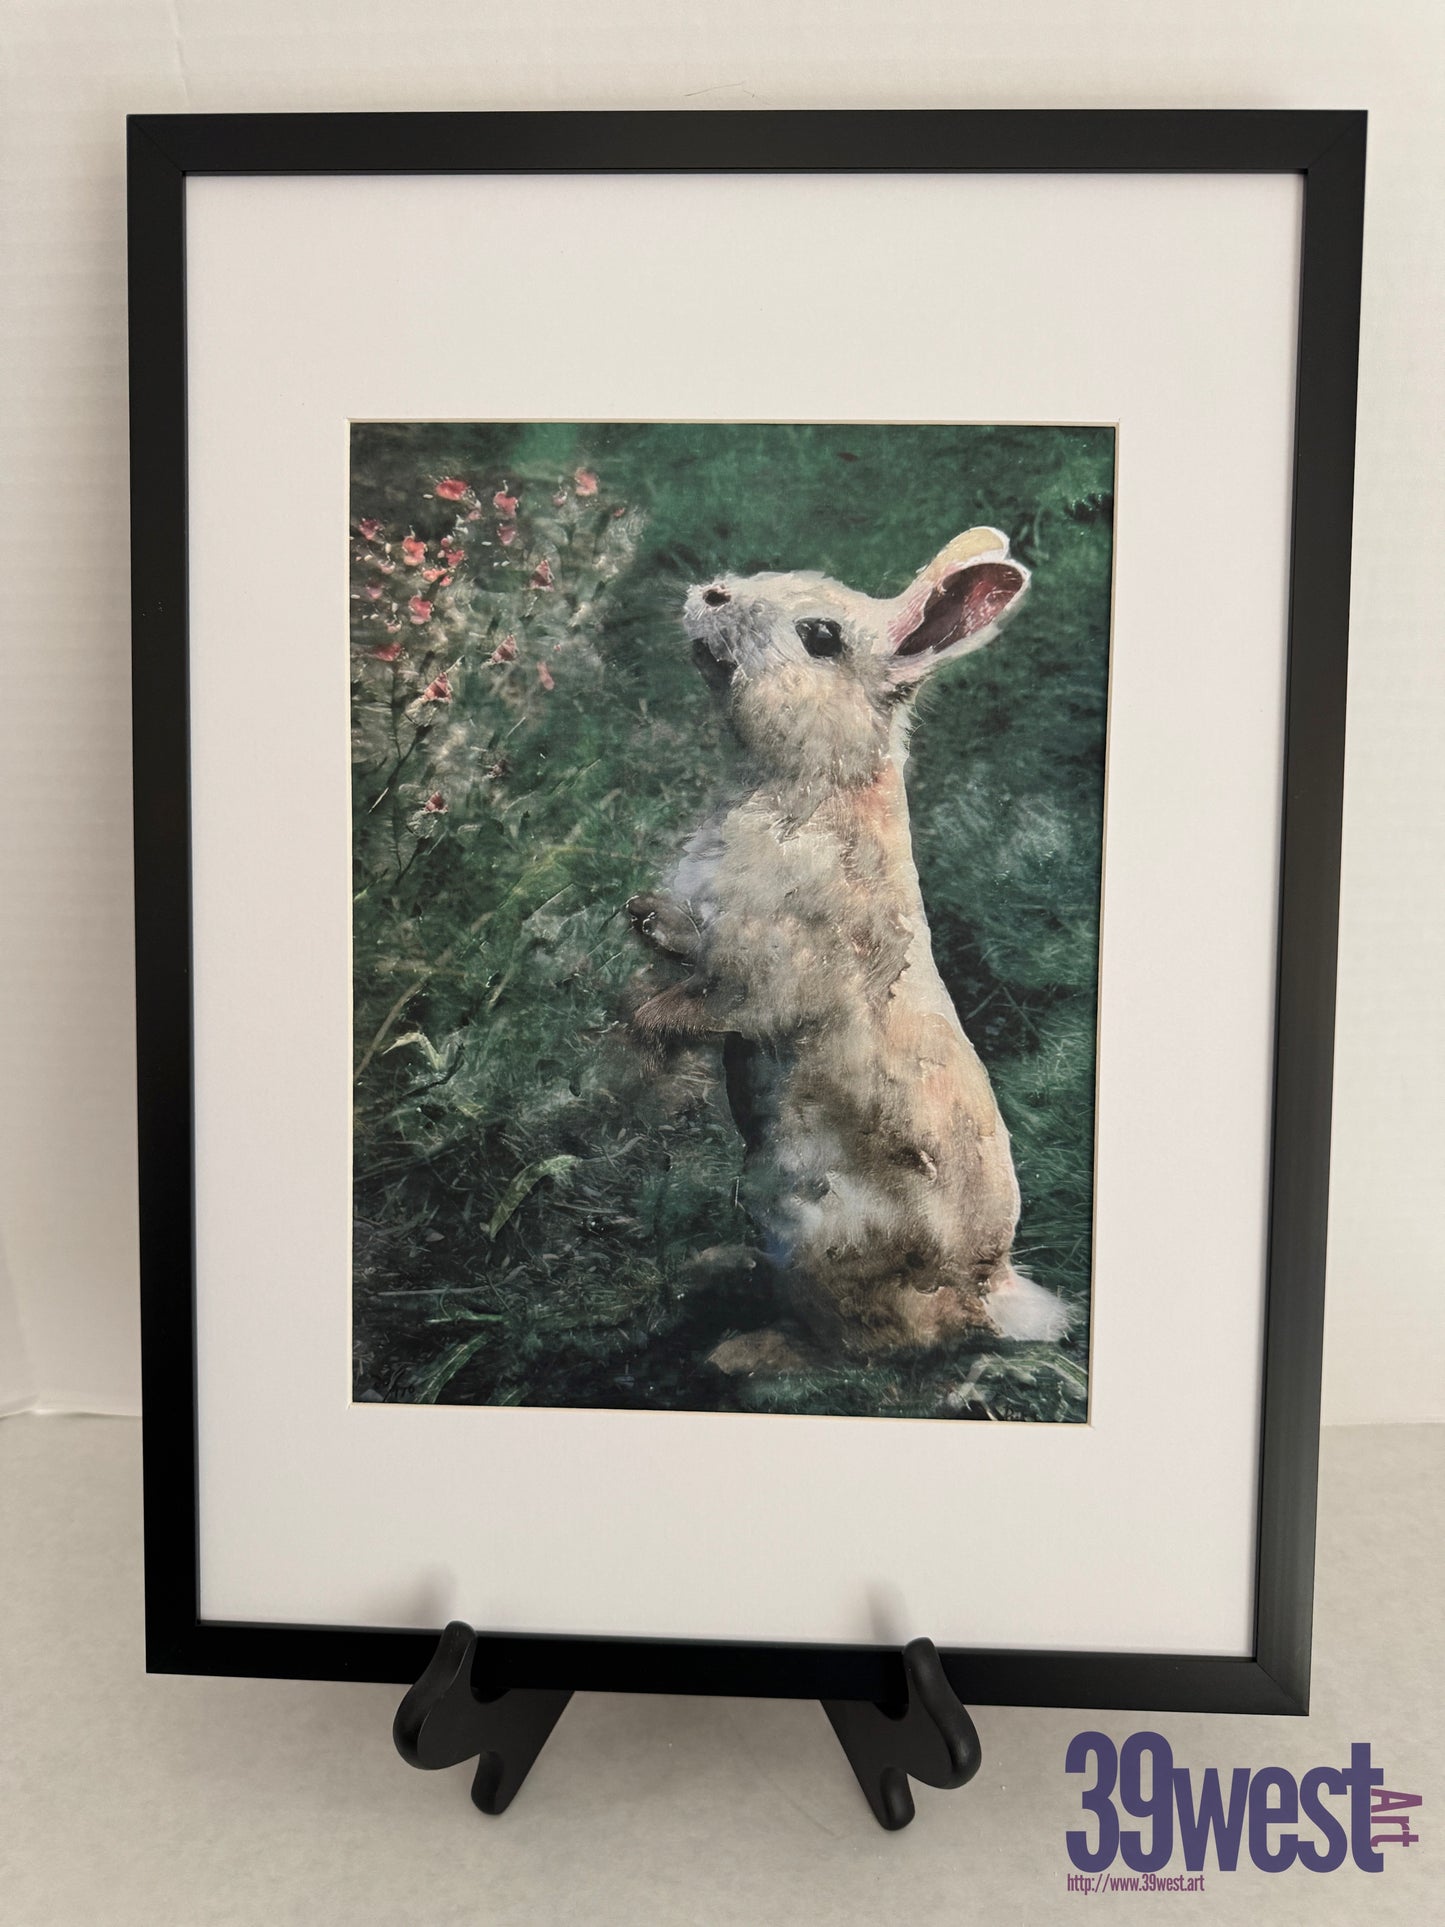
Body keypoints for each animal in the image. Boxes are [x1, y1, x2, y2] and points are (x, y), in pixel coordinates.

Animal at [627, 527, 1070, 1374]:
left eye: (821, 636)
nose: (710, 594)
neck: (808, 784)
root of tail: (982, 1295)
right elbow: (685, 943)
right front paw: (644, 916)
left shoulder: (760, 974)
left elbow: (713, 1001)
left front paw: (641, 1025)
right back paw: (713, 1269)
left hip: (816, 1232)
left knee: (855, 1345)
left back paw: (742, 1350)